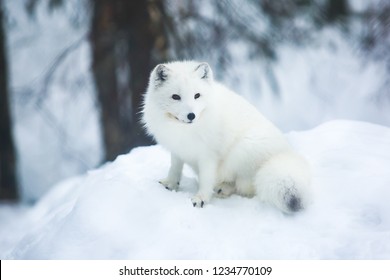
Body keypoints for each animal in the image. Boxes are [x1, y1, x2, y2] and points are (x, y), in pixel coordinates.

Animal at [142, 60, 310, 212]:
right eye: (175, 97)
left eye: (197, 95)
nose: (191, 115)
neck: (184, 130)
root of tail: (285, 153)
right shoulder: (177, 149)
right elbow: (175, 169)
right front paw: (170, 184)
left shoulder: (208, 156)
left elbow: (205, 179)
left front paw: (201, 199)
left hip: (243, 149)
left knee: (246, 187)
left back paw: (223, 189)